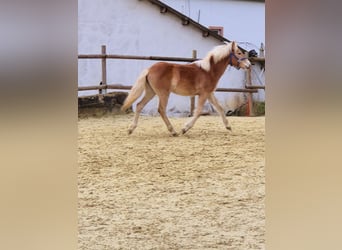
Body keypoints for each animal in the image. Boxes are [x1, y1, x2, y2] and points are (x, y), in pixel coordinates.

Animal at [121, 41, 250, 136]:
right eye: (239, 53)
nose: (248, 65)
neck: (209, 71)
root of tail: (149, 69)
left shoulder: (209, 94)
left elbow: (220, 108)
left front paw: (228, 126)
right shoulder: (203, 94)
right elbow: (198, 112)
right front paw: (185, 128)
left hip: (151, 92)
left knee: (139, 105)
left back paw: (131, 129)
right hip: (163, 93)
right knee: (161, 109)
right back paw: (173, 131)